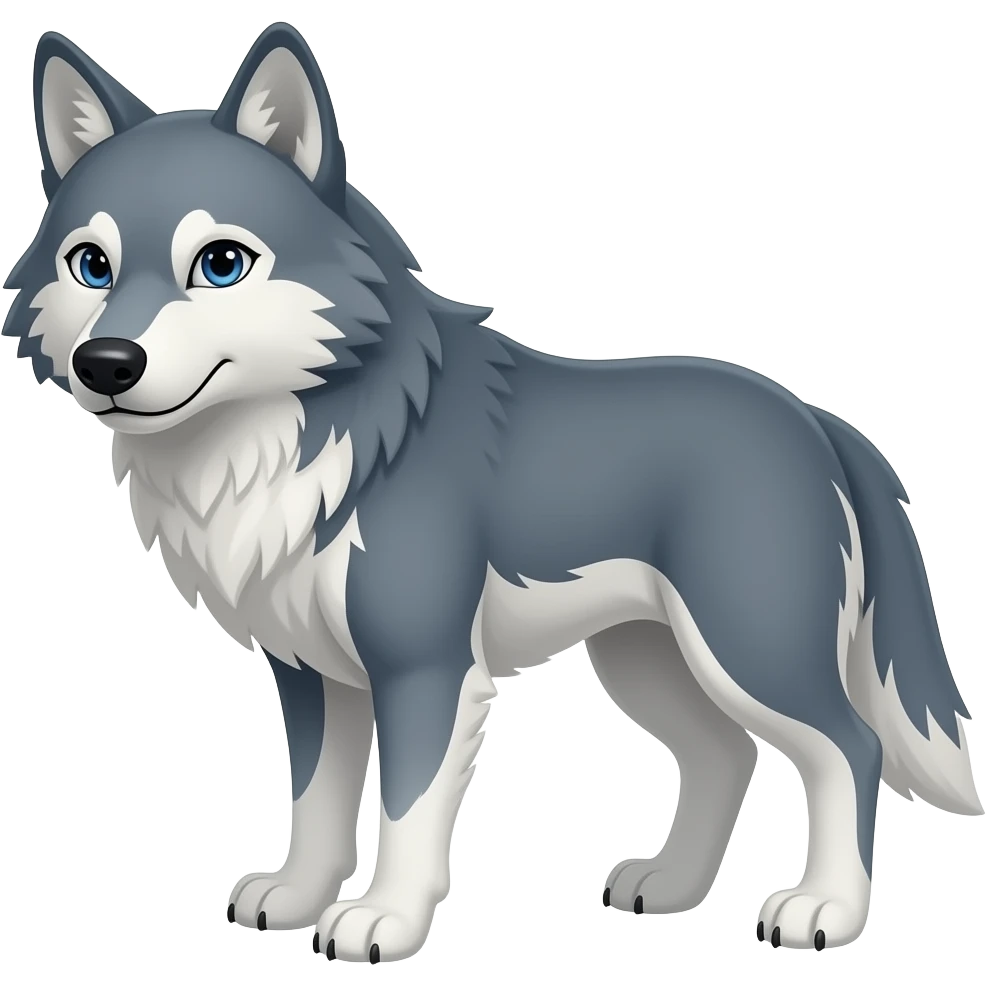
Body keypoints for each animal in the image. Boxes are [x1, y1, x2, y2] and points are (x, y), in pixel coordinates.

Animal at [3, 21, 980, 964]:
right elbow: (316, 799)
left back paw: (825, 911)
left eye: (219, 264)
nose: (106, 363)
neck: (298, 441)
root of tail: (814, 417)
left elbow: (405, 812)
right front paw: (297, 896)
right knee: (723, 753)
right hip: (645, 660)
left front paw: (382, 921)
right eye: (90, 265)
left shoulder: (424, 668)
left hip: (746, 647)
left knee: (847, 746)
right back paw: (669, 886)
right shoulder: (311, 671)